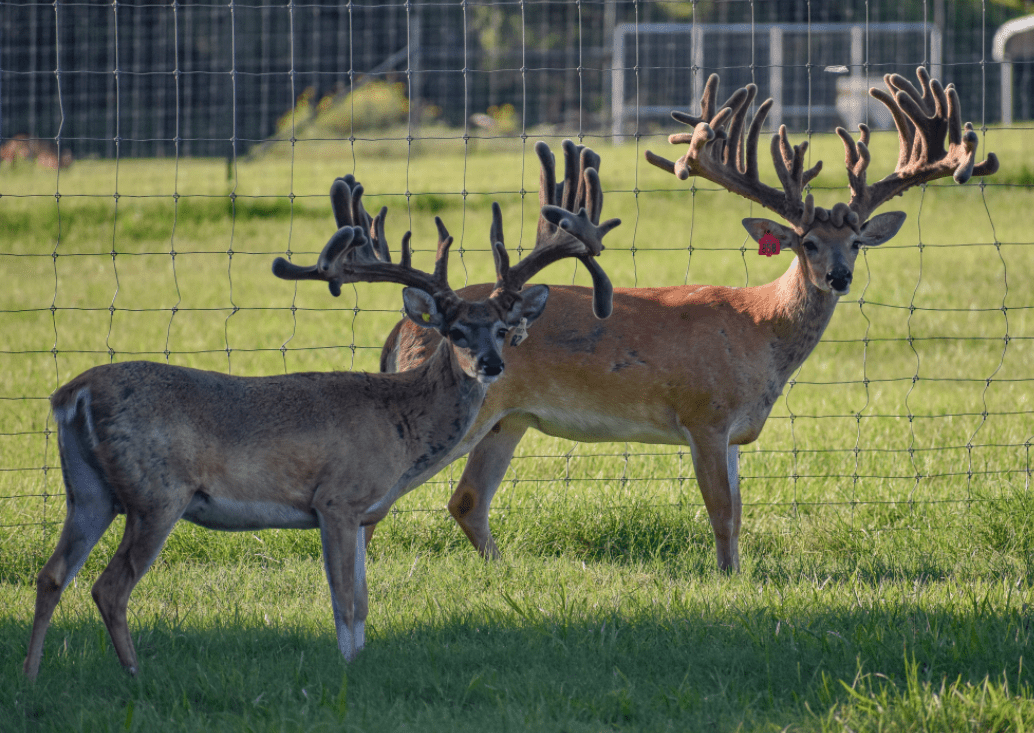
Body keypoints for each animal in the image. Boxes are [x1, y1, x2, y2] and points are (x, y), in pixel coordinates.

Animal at [23, 160, 619, 679]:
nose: (492, 364)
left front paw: (359, 664)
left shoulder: (360, 511)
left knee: (52, 575)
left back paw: (31, 676)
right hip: (157, 492)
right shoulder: (337, 499)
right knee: (109, 586)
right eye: (455, 332)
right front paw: (347, 672)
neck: (402, 426)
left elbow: (365, 602)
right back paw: (133, 674)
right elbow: (346, 603)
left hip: (90, 492)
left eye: (501, 328)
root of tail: (72, 394)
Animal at [378, 67, 998, 572]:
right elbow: (720, 509)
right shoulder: (704, 413)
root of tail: (405, 327)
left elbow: (740, 511)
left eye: (857, 243)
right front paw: (726, 578)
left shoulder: (734, 431)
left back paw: (503, 568)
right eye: (808, 243)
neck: (760, 331)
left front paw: (738, 572)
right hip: (469, 410)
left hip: (509, 421)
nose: (840, 276)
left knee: (467, 501)